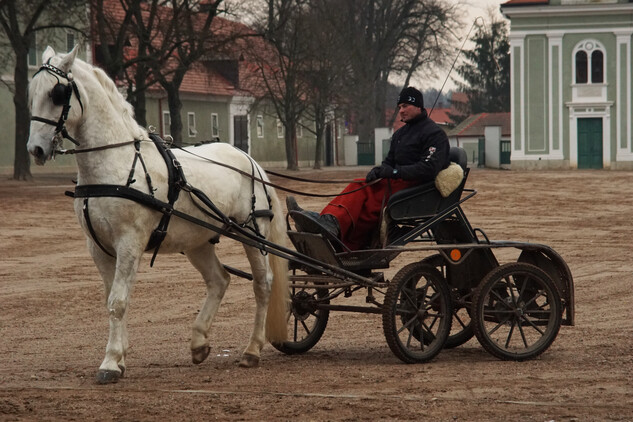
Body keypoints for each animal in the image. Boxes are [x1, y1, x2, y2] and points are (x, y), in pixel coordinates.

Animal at [27, 45, 288, 382]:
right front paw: (120, 356)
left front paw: (110, 361)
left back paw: (252, 350)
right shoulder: (98, 247)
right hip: (197, 241)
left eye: (57, 93)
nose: (35, 149)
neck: (117, 163)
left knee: (262, 284)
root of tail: (249, 159)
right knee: (219, 280)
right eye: (32, 92)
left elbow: (118, 301)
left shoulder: (129, 242)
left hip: (253, 234)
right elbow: (111, 299)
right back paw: (199, 342)